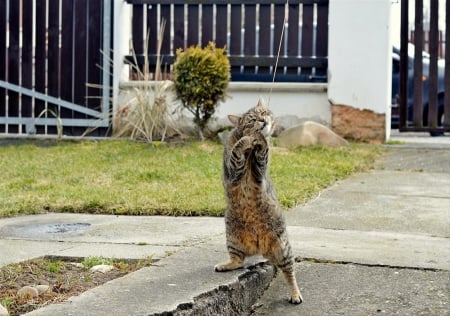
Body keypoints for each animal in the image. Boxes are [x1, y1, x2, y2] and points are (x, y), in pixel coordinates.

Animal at [214, 98, 302, 304]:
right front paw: (247, 139)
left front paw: (260, 139)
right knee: (238, 261)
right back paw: (225, 264)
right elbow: (237, 150)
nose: (263, 120)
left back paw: (295, 294)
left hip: (283, 248)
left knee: (289, 273)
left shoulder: (259, 168)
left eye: (263, 112)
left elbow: (262, 149)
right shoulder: (233, 170)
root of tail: (260, 249)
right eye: (252, 118)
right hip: (232, 237)